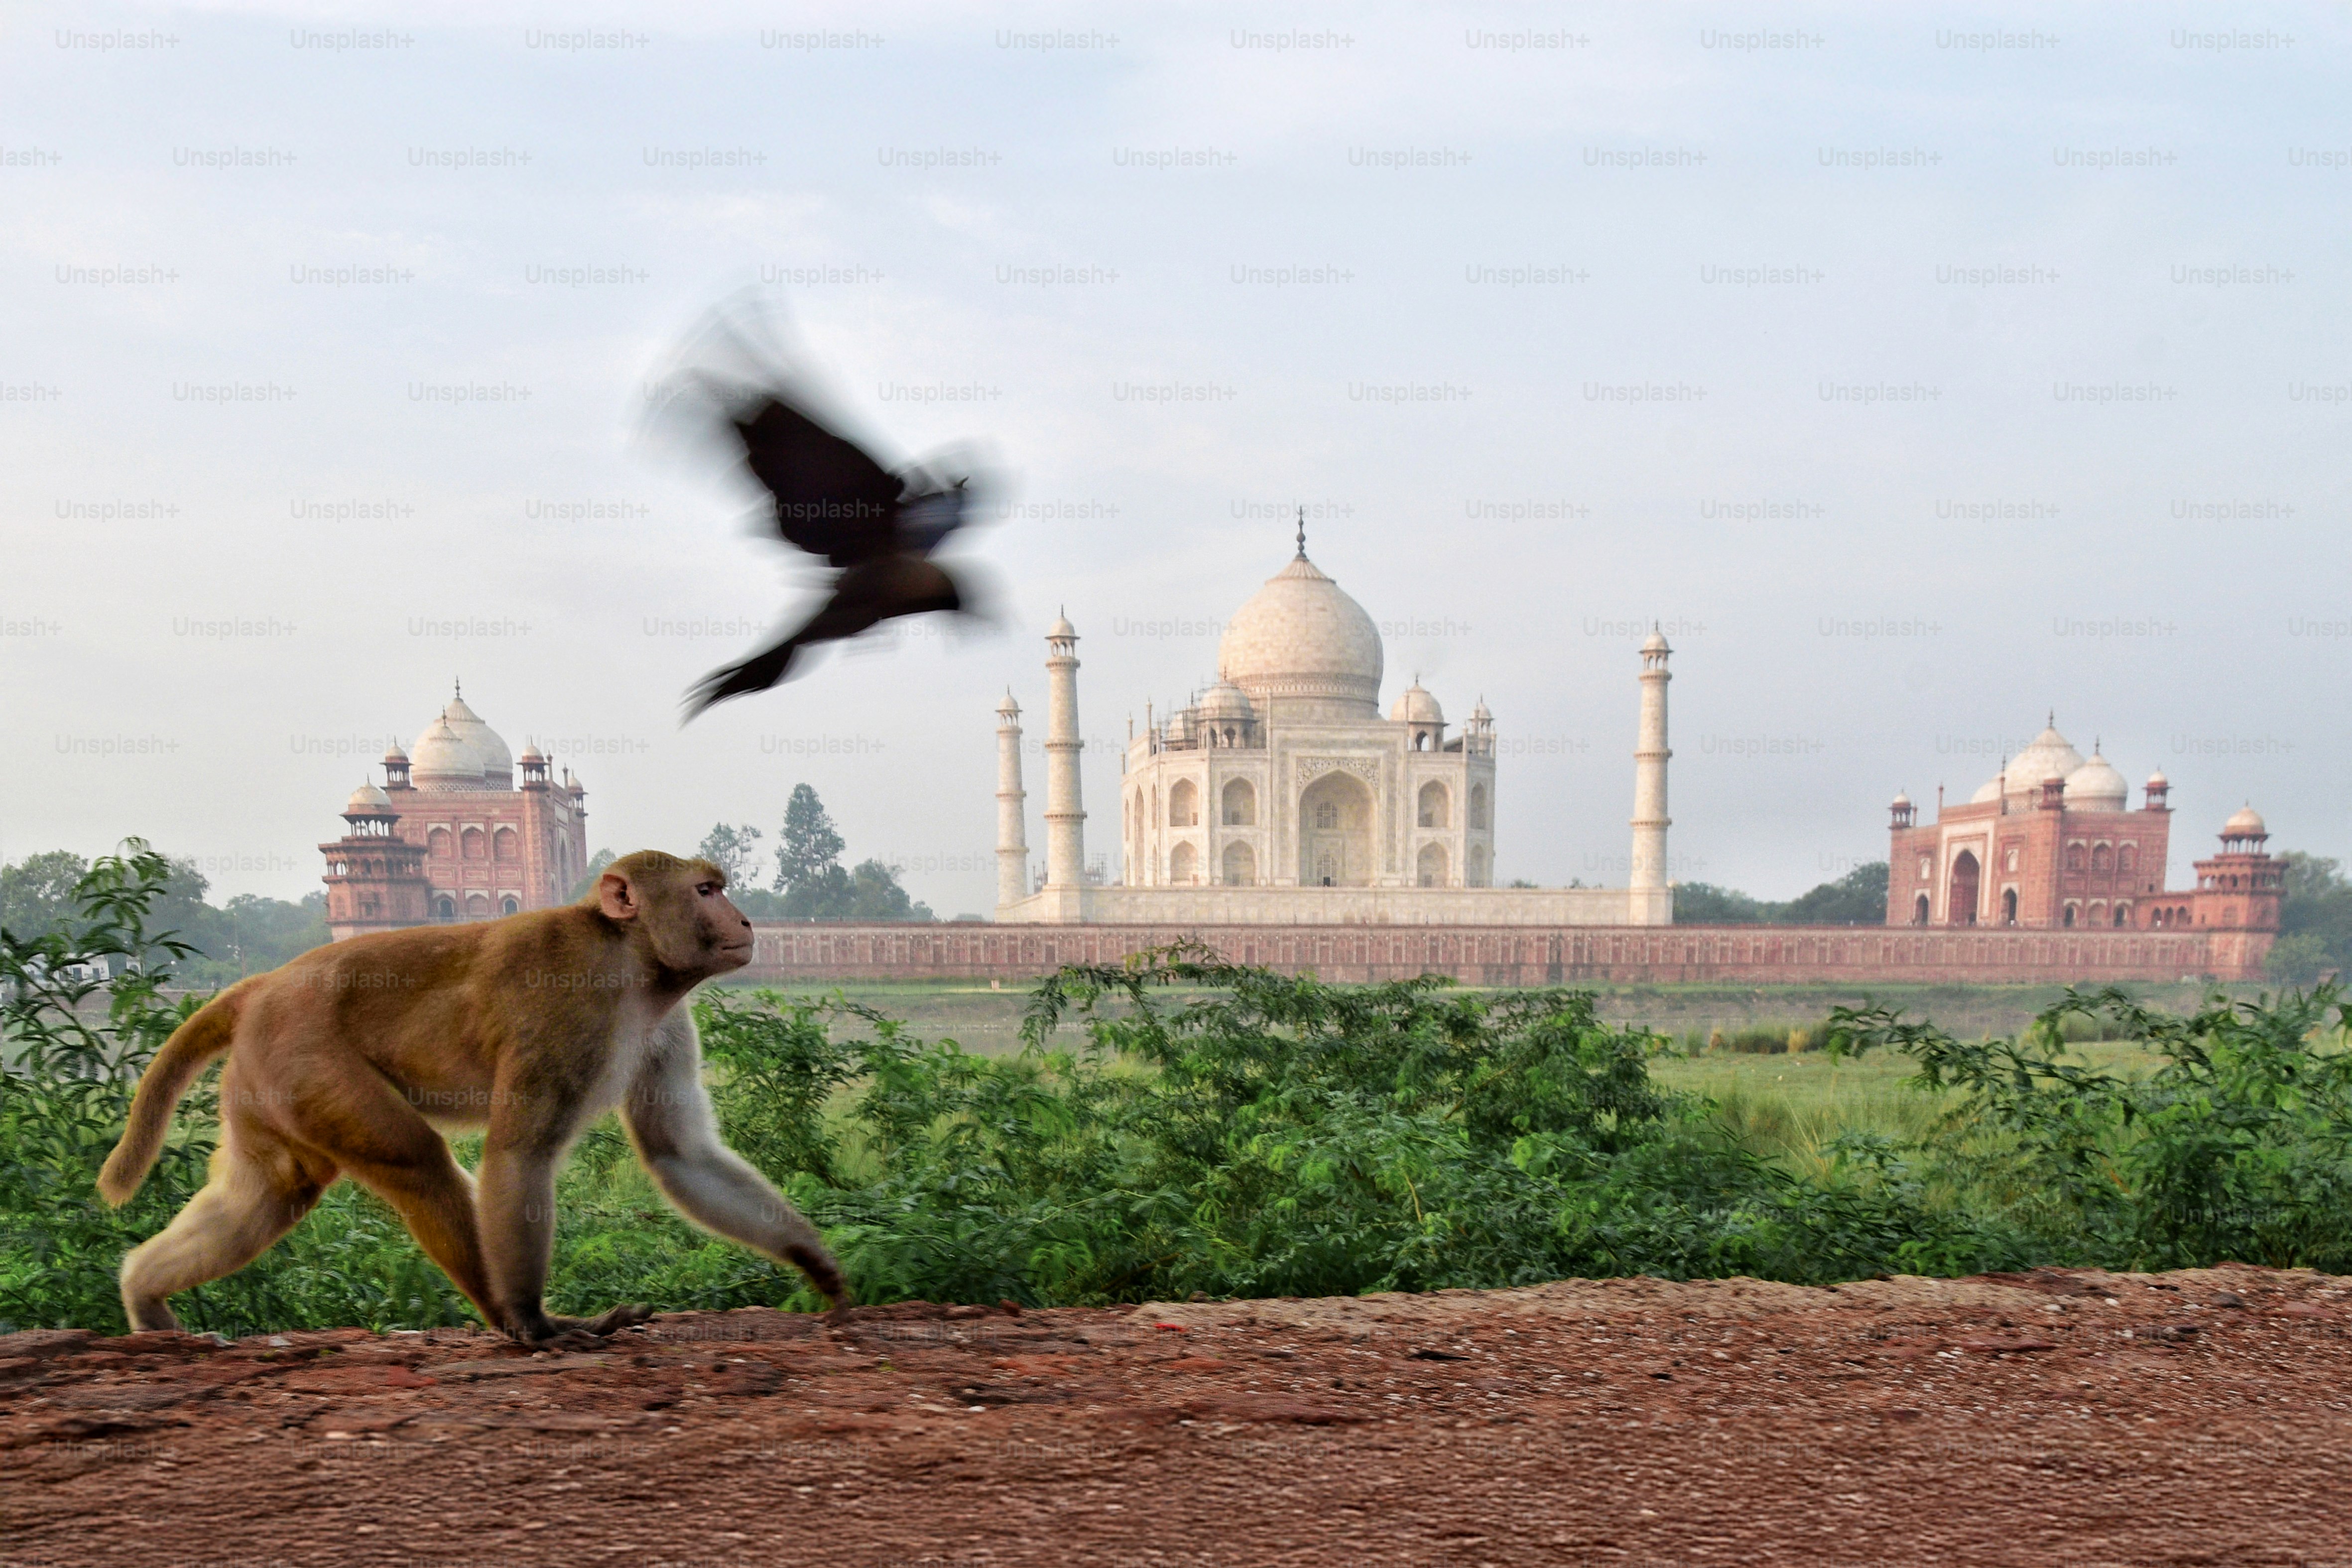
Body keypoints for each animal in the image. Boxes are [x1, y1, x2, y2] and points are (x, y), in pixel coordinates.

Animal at [96, 850, 846, 1348]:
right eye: (705, 889)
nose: (744, 919)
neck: (631, 962)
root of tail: (261, 985)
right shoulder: (566, 1007)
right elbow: (519, 1153)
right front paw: (538, 1322)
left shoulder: (664, 1023)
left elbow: (678, 1153)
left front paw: (815, 1261)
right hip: (307, 1063)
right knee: (416, 1161)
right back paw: (508, 1317)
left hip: (268, 1082)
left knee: (269, 1190)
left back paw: (142, 1292)